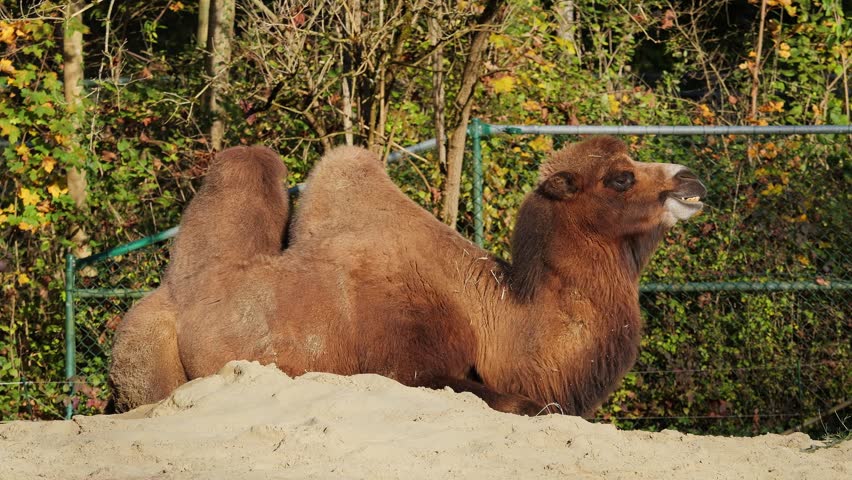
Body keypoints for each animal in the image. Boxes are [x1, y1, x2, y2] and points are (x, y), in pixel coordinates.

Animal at [110, 136, 706, 416]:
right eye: (620, 177)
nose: (691, 180)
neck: (500, 321)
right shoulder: (408, 365)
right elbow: (527, 406)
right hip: (144, 360)